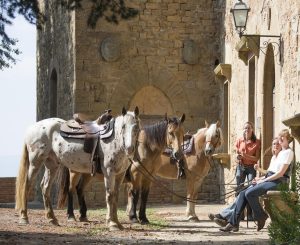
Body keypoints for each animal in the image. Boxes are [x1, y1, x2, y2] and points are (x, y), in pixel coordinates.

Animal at [54, 114, 185, 223]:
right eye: (170, 132)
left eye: (182, 133)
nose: (178, 154)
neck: (145, 147)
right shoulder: (136, 174)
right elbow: (135, 194)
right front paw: (133, 217)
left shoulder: (148, 176)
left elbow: (144, 196)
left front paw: (143, 218)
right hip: (74, 172)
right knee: (71, 190)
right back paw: (71, 215)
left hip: (86, 172)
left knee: (80, 189)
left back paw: (83, 215)